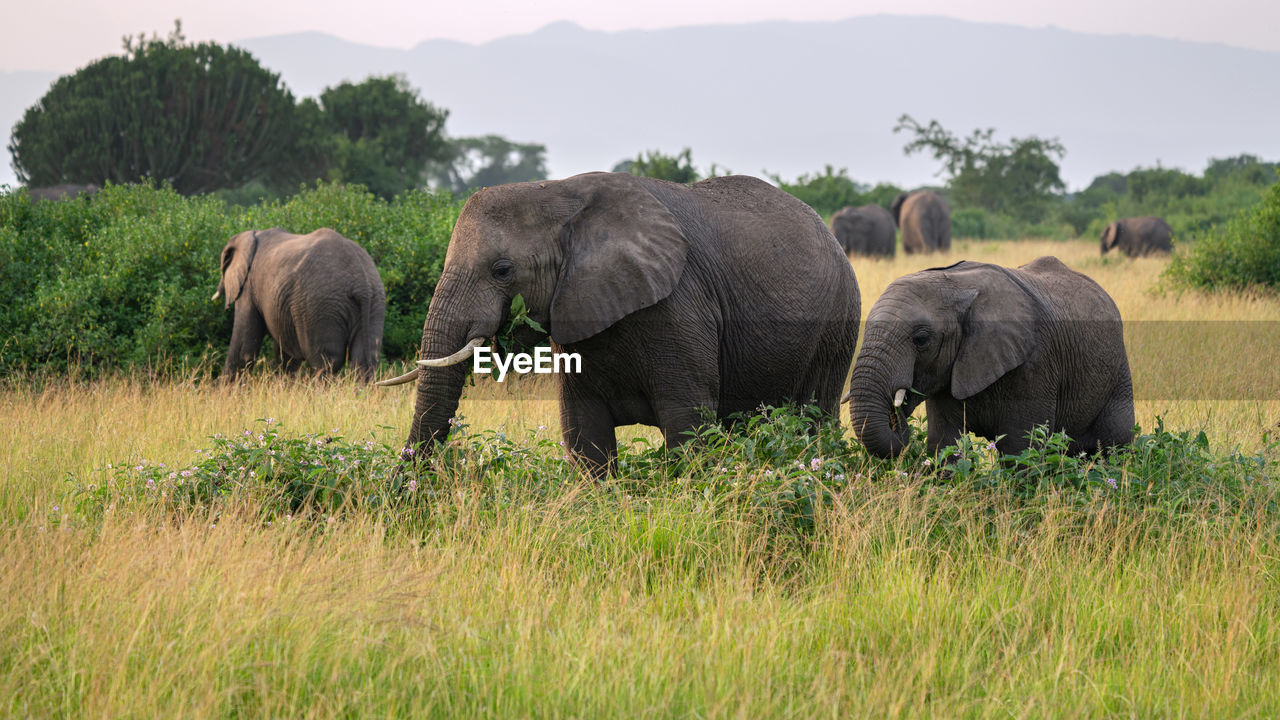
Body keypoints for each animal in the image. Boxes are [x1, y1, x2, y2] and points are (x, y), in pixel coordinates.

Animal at [213, 228, 384, 381]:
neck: (252, 234)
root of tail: (360, 281)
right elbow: (286, 353)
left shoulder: (248, 287)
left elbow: (243, 347)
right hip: (373, 302)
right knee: (363, 361)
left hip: (320, 305)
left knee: (326, 362)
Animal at [378, 167, 860, 471]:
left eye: (502, 270)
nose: (409, 477)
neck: (558, 194)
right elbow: (583, 430)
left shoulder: (679, 305)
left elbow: (688, 425)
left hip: (837, 327)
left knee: (815, 419)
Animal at [849, 256, 1131, 453]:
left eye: (921, 339)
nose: (896, 413)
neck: (956, 285)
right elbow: (944, 442)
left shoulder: (1036, 364)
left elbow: (1021, 448)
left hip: (1118, 370)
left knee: (1114, 445)